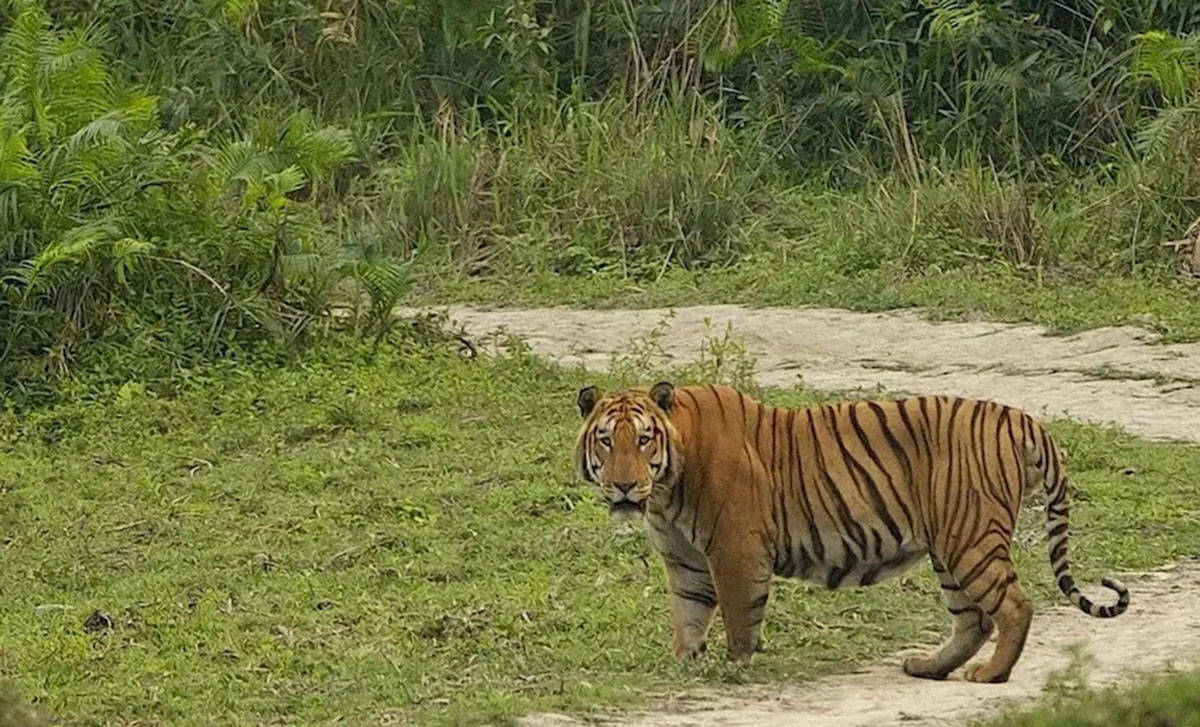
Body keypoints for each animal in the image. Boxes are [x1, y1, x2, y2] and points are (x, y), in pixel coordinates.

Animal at [576, 381, 1128, 681]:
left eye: (643, 440)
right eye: (606, 441)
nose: (624, 486)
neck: (666, 490)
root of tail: (1024, 419)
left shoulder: (735, 549)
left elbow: (736, 615)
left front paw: (733, 666)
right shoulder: (685, 560)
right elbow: (687, 618)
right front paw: (685, 665)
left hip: (971, 538)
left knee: (1014, 606)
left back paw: (991, 674)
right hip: (951, 547)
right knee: (973, 619)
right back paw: (929, 666)